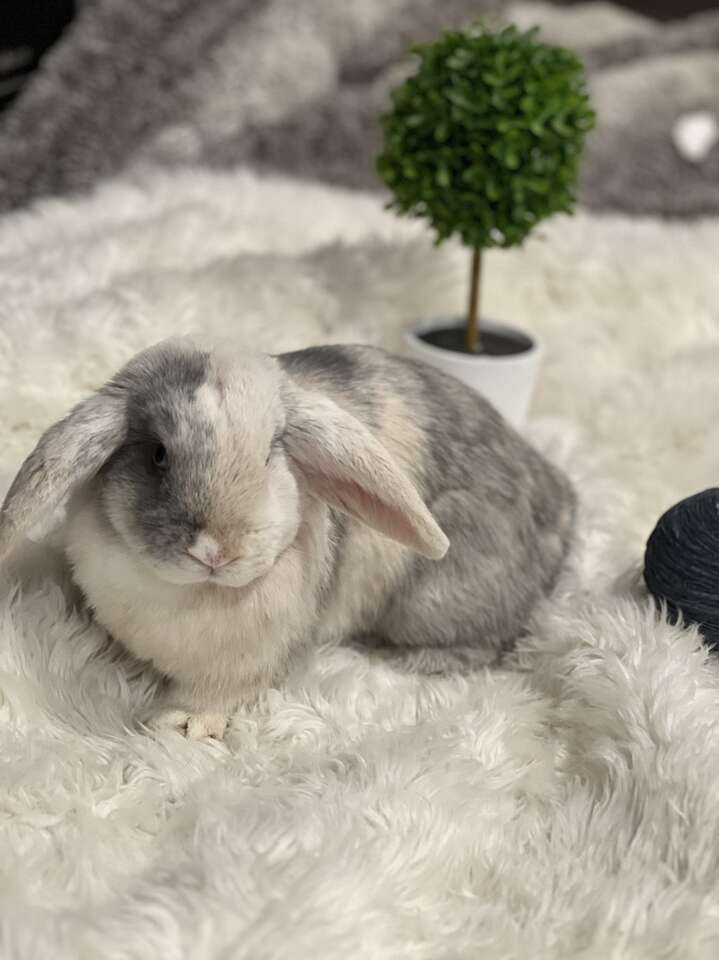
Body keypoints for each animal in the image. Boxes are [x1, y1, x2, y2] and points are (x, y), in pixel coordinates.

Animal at [0, 340, 576, 744]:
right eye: (158, 454)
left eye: (270, 455)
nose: (217, 551)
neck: (192, 593)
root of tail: (558, 502)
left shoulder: (241, 663)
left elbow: (214, 695)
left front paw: (184, 724)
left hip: (437, 599)